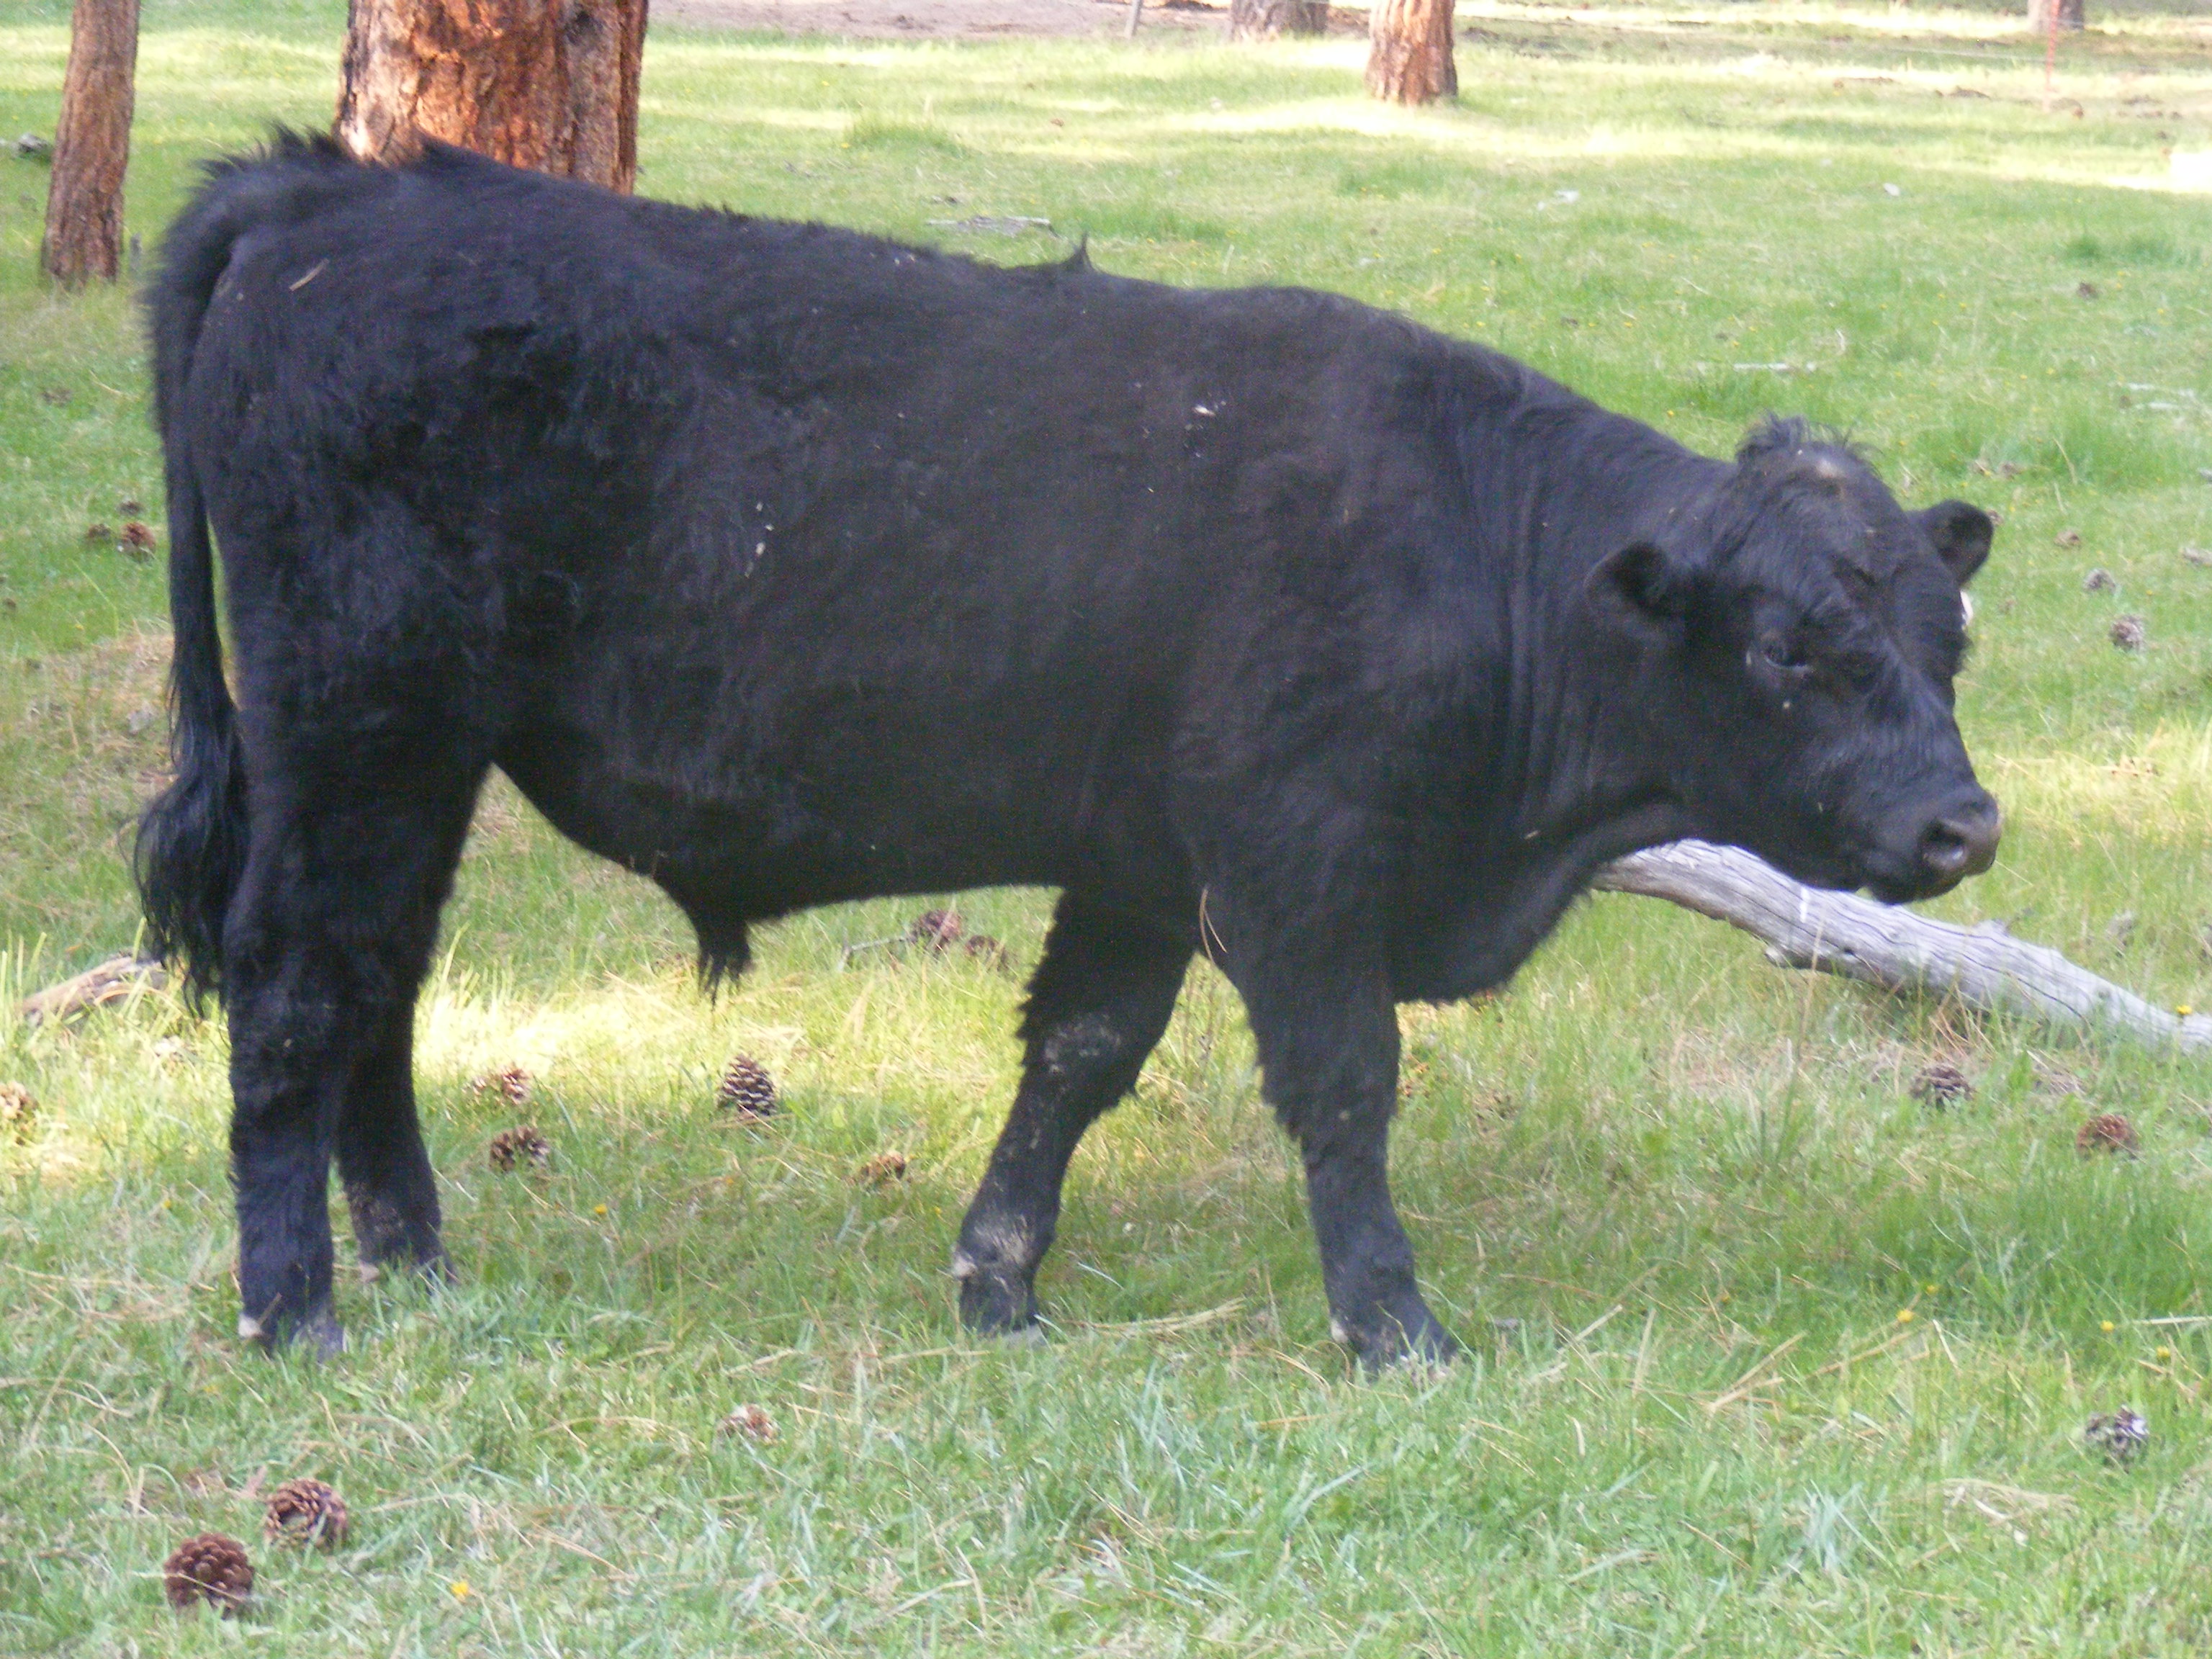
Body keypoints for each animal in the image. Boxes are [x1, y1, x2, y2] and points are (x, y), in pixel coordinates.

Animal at [137, 134, 2000, 1364]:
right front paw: (1395, 1327)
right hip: (357, 727)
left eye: (1947, 638)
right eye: (1790, 648)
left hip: (420, 762)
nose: (1961, 829)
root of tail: (324, 190)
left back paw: (416, 1257)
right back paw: (294, 1308)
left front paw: (997, 1287)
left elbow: (1076, 1057)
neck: (1475, 544)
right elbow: (1344, 1088)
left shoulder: (1137, 867)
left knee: (380, 978)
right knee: (296, 982)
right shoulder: (1292, 869)